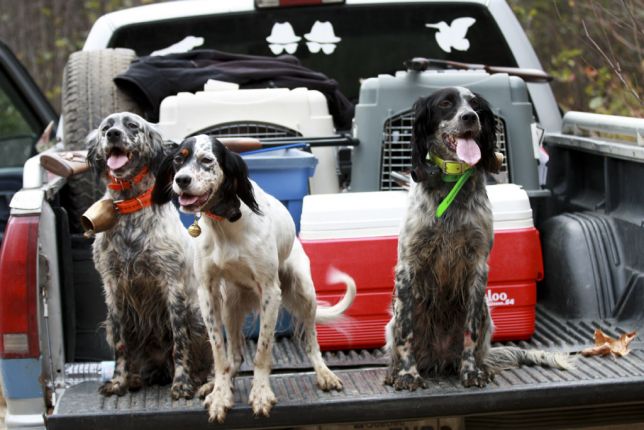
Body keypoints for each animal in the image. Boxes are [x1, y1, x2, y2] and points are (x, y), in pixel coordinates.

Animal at [85, 111, 211, 400]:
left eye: (132, 125)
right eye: (105, 128)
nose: (113, 135)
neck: (129, 209)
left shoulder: (172, 284)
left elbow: (180, 342)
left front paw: (182, 384)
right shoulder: (113, 287)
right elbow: (121, 345)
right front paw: (118, 381)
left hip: (198, 314)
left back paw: (204, 382)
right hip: (111, 325)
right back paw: (135, 378)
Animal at [154, 135, 360, 424]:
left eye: (207, 160)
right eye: (177, 160)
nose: (181, 180)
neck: (225, 223)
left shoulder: (270, 292)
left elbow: (263, 351)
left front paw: (261, 392)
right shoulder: (208, 293)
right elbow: (220, 354)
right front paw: (220, 394)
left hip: (304, 294)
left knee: (311, 342)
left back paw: (324, 373)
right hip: (230, 307)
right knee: (235, 357)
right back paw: (218, 383)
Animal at [384, 86, 572, 390]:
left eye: (475, 105)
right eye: (445, 103)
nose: (469, 117)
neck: (450, 184)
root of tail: (438, 358)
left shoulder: (477, 266)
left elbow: (470, 332)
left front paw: (471, 371)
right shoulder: (407, 267)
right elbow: (406, 333)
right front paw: (407, 374)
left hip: (486, 311)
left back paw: (482, 367)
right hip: (393, 317)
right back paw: (393, 370)